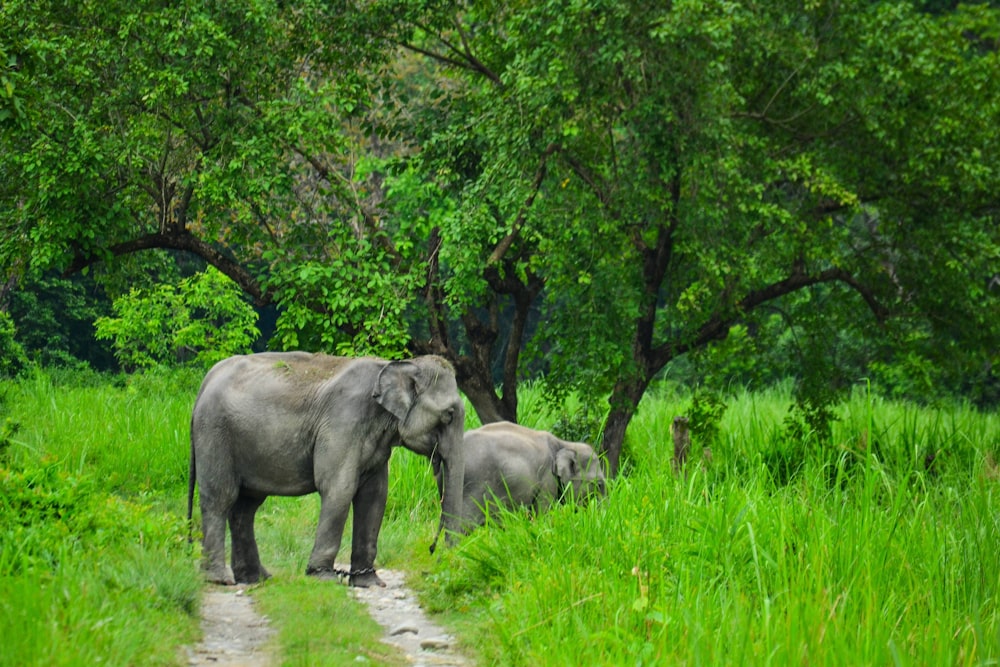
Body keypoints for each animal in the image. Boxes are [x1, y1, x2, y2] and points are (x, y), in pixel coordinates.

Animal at [188, 352, 464, 588]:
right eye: (449, 415)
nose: (434, 552)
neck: (395, 365)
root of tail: (206, 381)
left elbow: (374, 496)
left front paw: (369, 583)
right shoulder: (343, 422)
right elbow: (339, 488)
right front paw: (323, 577)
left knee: (245, 508)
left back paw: (256, 578)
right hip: (214, 433)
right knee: (220, 498)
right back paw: (220, 579)